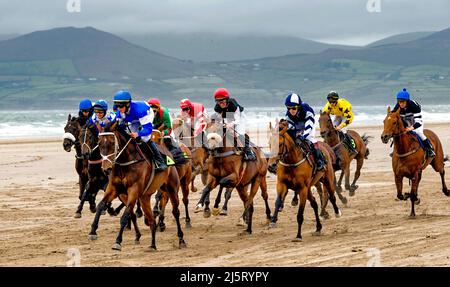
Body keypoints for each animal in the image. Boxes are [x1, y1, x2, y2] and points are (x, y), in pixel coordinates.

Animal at [88, 122, 186, 252]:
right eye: (99, 144)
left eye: (112, 142)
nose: (106, 169)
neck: (126, 162)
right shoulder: (114, 189)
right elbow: (100, 206)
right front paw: (93, 231)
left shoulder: (133, 191)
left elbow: (125, 215)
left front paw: (118, 241)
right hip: (145, 197)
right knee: (151, 220)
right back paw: (152, 245)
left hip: (172, 188)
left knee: (175, 212)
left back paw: (181, 239)